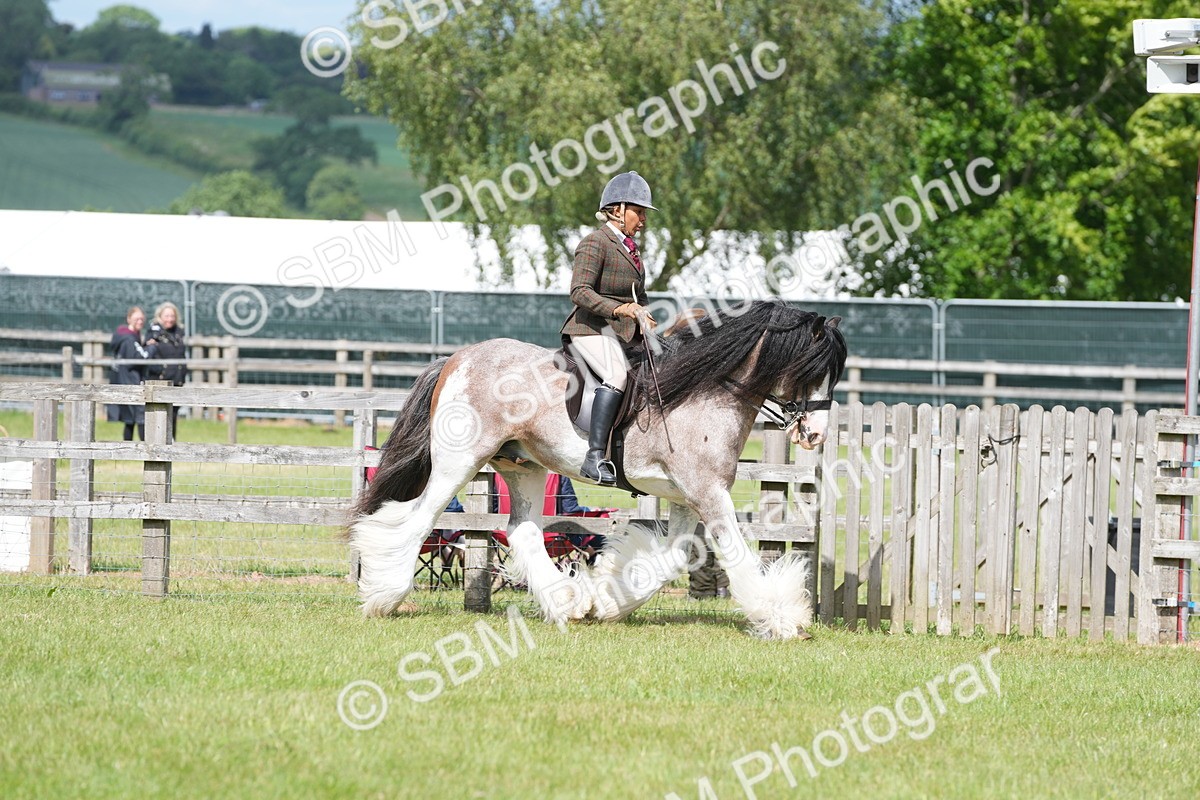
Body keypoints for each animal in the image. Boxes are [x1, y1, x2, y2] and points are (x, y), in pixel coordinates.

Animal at [350, 299, 846, 639]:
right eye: (809, 370)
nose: (816, 435)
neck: (708, 391)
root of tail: (458, 358)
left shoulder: (688, 497)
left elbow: (673, 558)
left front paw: (608, 602)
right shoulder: (708, 493)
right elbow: (737, 555)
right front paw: (781, 617)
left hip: (523, 465)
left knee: (522, 530)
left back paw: (568, 602)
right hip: (460, 461)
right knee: (419, 520)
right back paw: (384, 596)